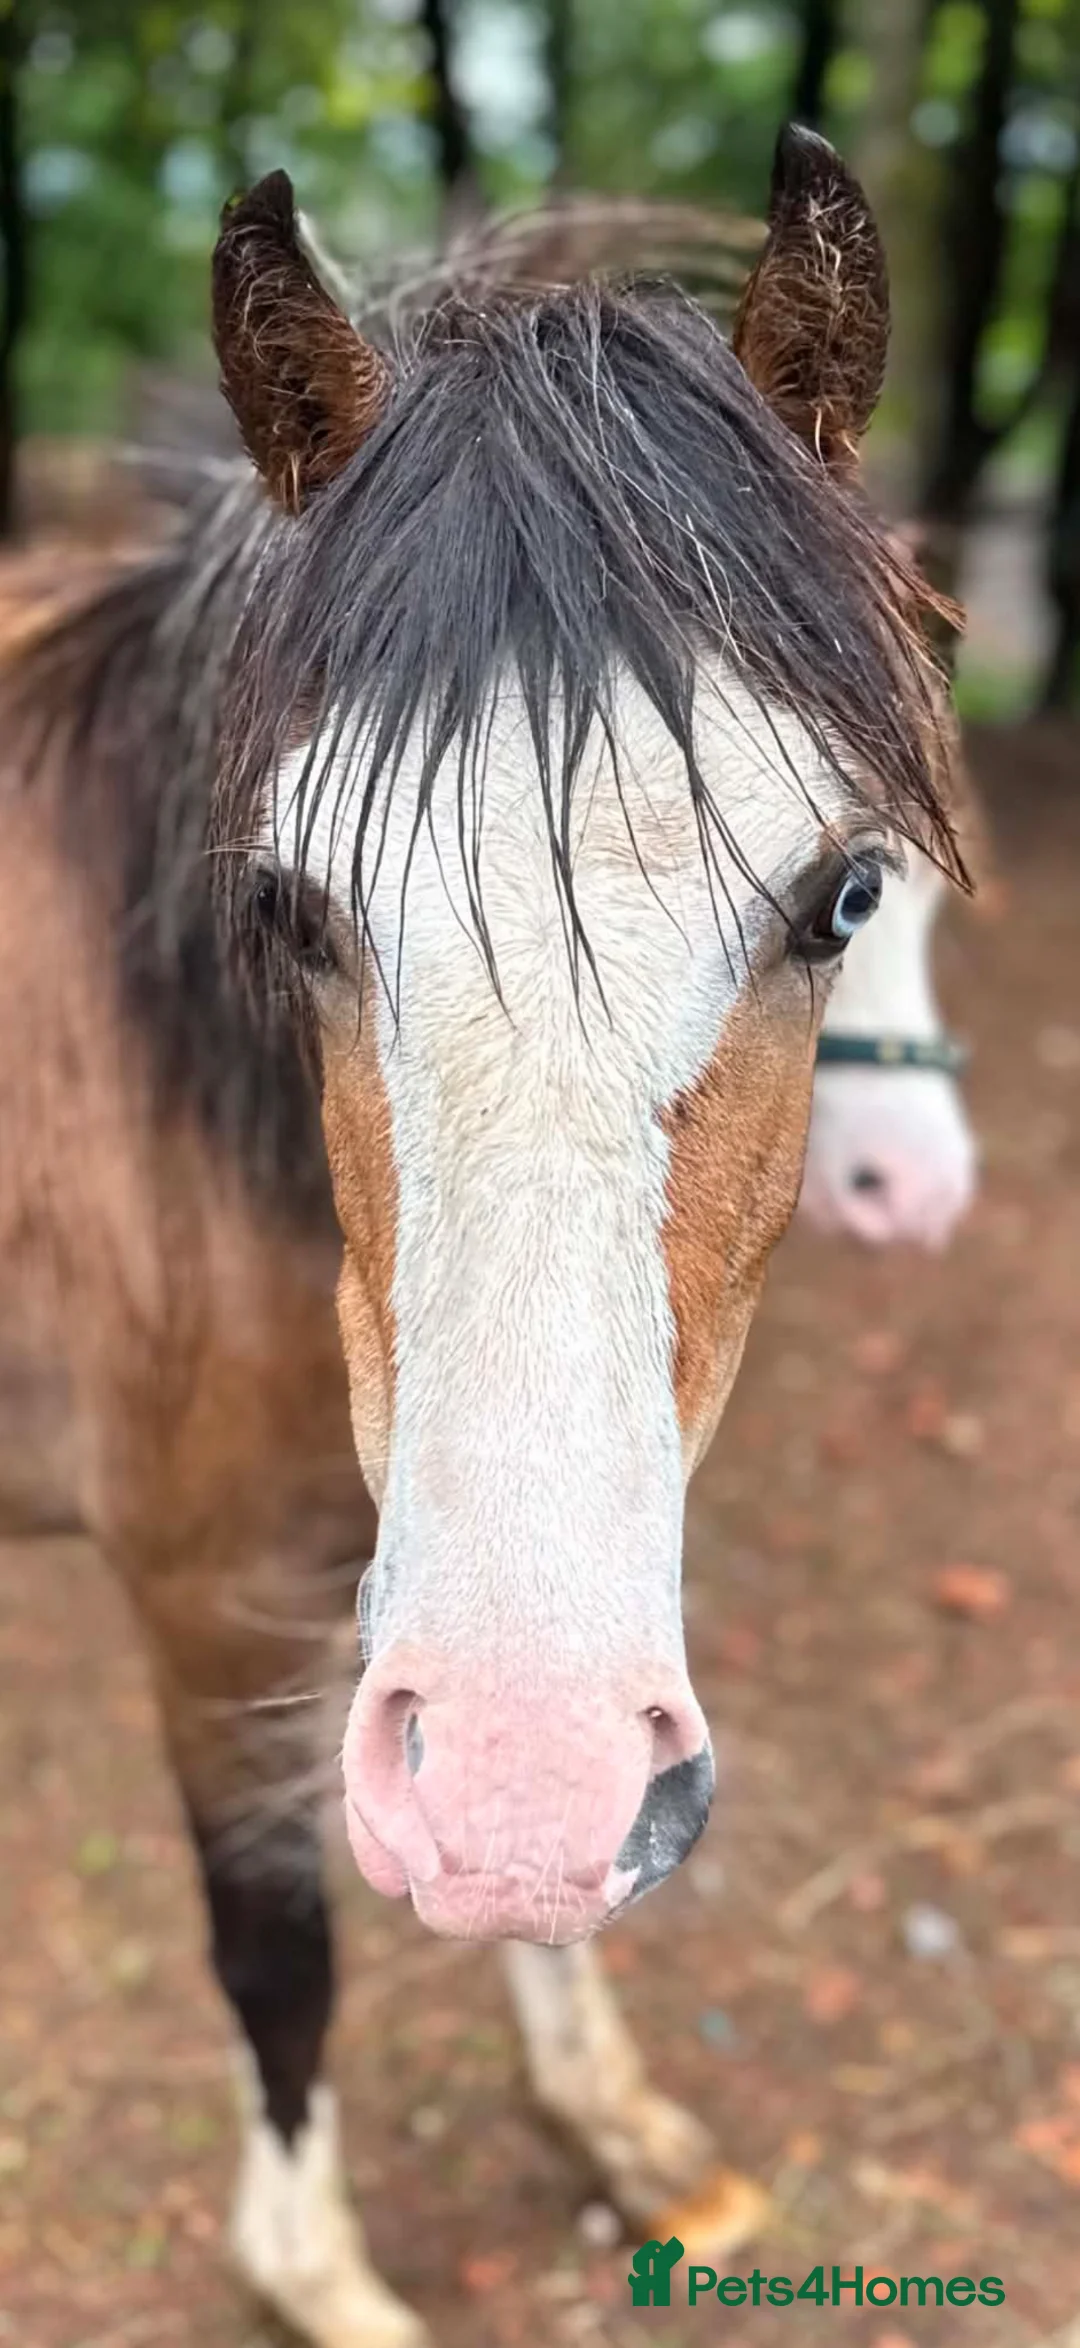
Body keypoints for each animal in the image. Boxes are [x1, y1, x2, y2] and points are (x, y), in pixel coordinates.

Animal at [0, 128, 968, 2347]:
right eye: (286, 909)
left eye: (844, 888)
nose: (916, 1185)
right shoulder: (212, 1608)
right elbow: (281, 1951)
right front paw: (321, 2273)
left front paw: (613, 2116)